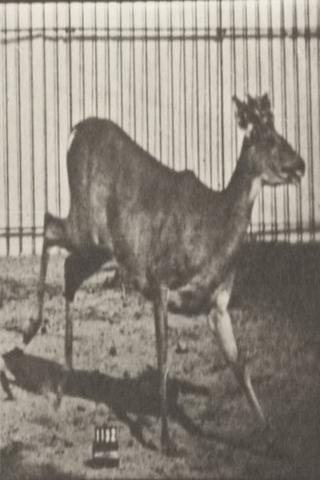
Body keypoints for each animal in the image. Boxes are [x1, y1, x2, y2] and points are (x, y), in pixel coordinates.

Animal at [20, 94, 304, 454]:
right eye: (269, 139)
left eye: (281, 133)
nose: (301, 165)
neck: (213, 231)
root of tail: (75, 131)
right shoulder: (160, 281)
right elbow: (164, 361)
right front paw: (167, 440)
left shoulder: (217, 305)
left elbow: (240, 365)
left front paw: (271, 437)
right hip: (87, 224)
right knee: (48, 226)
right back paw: (29, 332)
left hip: (100, 247)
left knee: (69, 268)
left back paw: (60, 387)